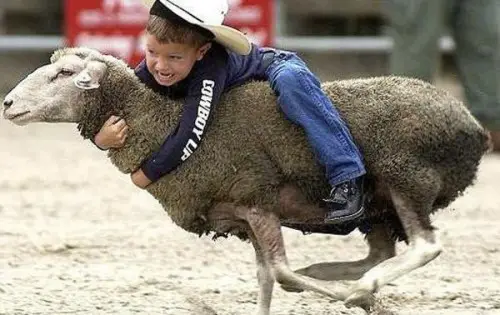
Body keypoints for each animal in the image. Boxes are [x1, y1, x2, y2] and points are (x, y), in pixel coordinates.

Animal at [1, 47, 490, 315]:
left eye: (65, 74)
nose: (7, 103)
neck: (164, 123)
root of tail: (473, 126)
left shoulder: (256, 199)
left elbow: (281, 273)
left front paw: (354, 297)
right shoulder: (244, 217)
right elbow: (267, 278)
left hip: (406, 177)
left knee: (425, 245)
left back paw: (361, 290)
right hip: (380, 207)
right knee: (381, 252)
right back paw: (343, 278)